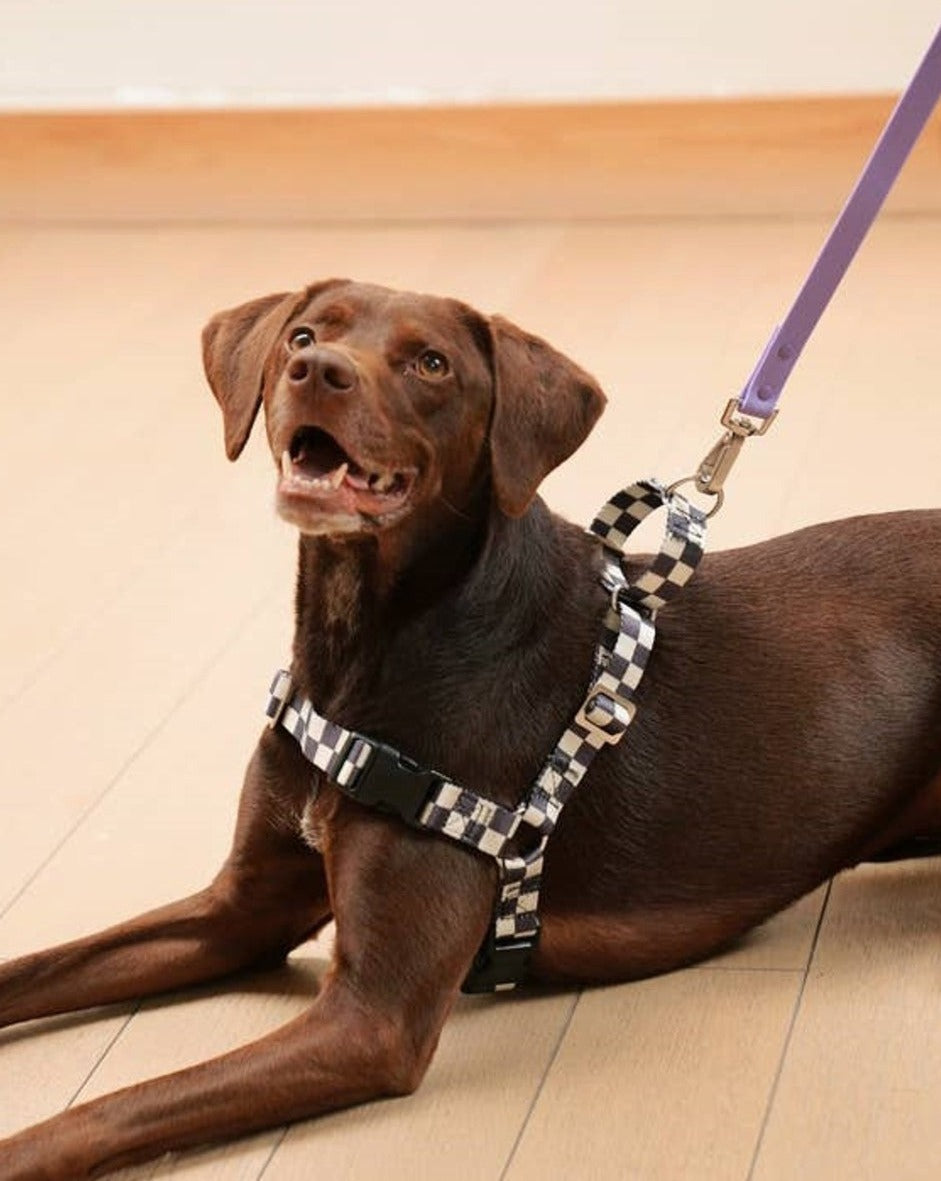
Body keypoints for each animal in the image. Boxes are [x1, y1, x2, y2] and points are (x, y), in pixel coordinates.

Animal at [1, 281, 939, 1176]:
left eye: (431, 364)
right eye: (303, 335)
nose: (317, 371)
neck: (363, 643)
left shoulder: (370, 1021)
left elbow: (111, 1107)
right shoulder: (239, 909)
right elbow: (36, 970)